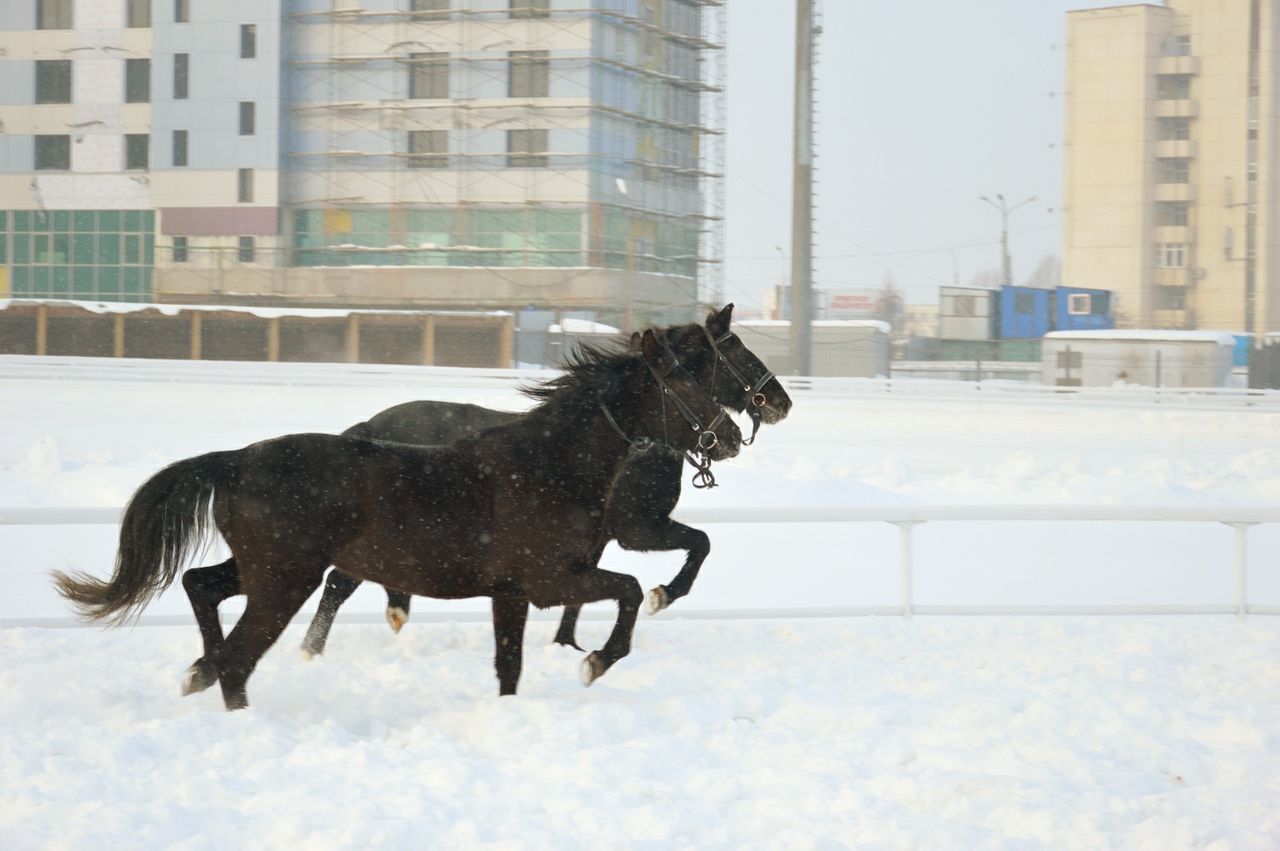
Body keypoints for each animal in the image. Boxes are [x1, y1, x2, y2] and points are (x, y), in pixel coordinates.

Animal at [55, 327, 747, 706]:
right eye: (688, 385)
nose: (732, 436)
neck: (548, 465)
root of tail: (237, 460)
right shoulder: (550, 581)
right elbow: (630, 591)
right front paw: (596, 660)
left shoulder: (511, 592)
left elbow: (510, 666)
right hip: (283, 580)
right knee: (239, 656)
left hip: (264, 571)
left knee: (202, 588)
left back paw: (197, 670)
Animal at [296, 302, 788, 652]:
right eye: (737, 349)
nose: (781, 402)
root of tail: (367, 426)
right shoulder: (637, 529)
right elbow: (700, 543)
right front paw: (662, 595)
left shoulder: (593, 543)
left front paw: (569, 644)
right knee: (338, 584)